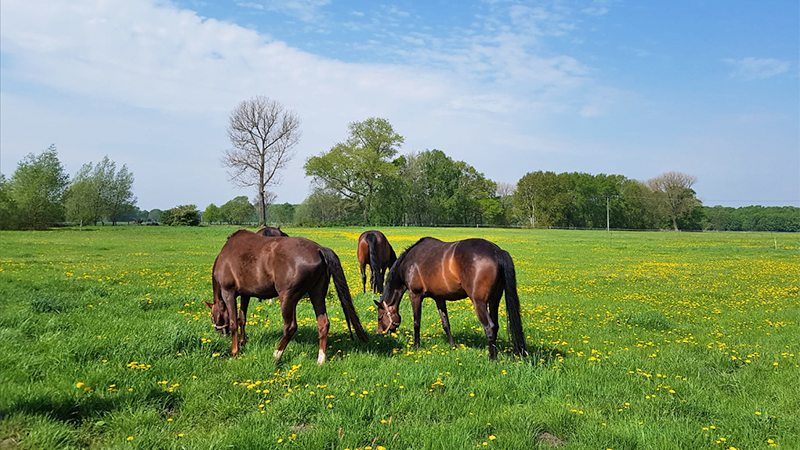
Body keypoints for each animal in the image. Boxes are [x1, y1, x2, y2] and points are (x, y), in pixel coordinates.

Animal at [206, 230, 368, 364]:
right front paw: (242, 342)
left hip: (287, 298)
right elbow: (242, 319)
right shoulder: (246, 294)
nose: (220, 333)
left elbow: (234, 322)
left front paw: (234, 352)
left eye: (213, 317)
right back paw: (320, 360)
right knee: (323, 324)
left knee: (290, 327)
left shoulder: (228, 292)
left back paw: (276, 355)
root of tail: (319, 249)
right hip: (316, 294)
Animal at [376, 237, 528, 360]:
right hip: (494, 301)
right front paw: (452, 346)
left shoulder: (415, 295)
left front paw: (416, 346)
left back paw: (492, 358)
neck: (409, 263)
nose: (379, 334)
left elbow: (416, 322)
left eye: (380, 317)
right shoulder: (439, 298)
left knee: (489, 327)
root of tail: (497, 252)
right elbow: (446, 324)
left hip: (479, 303)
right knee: (495, 326)